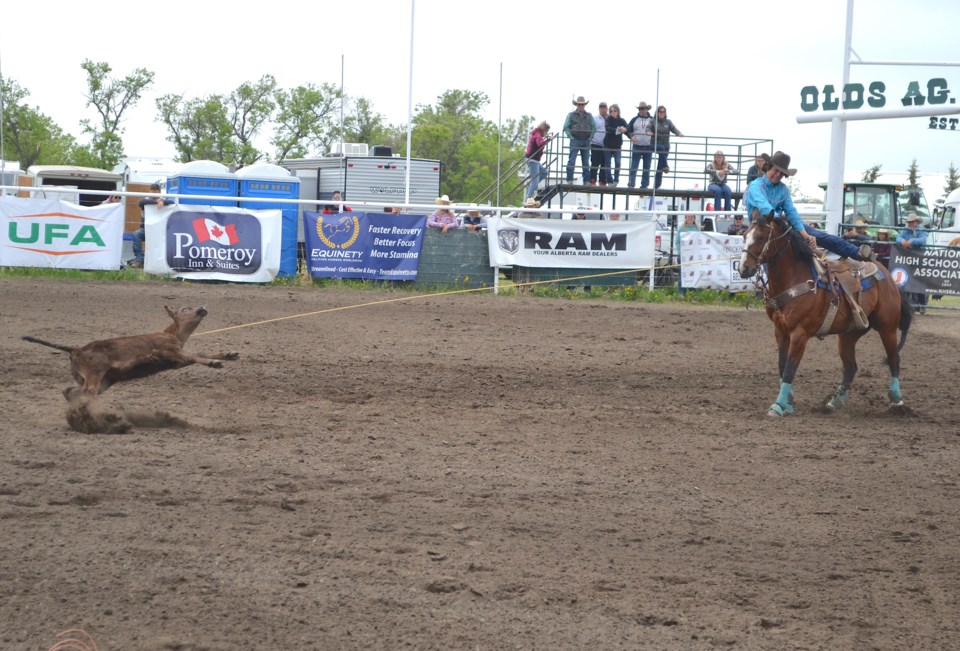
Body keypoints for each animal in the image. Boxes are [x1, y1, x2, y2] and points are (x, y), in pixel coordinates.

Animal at [24, 304, 238, 398]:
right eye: (185, 309)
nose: (202, 307)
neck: (174, 333)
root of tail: (76, 349)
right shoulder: (168, 351)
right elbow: (195, 355)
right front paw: (215, 363)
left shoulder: (178, 361)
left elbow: (199, 354)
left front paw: (228, 355)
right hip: (94, 374)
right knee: (86, 392)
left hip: (101, 381)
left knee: (71, 391)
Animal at [740, 214, 912, 418]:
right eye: (744, 235)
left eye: (760, 237)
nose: (744, 268)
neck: (794, 277)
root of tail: (889, 277)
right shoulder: (780, 331)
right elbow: (782, 367)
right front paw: (788, 401)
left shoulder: (800, 333)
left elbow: (790, 368)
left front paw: (779, 405)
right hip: (848, 334)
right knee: (851, 367)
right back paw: (834, 402)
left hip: (888, 328)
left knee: (894, 360)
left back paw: (897, 401)